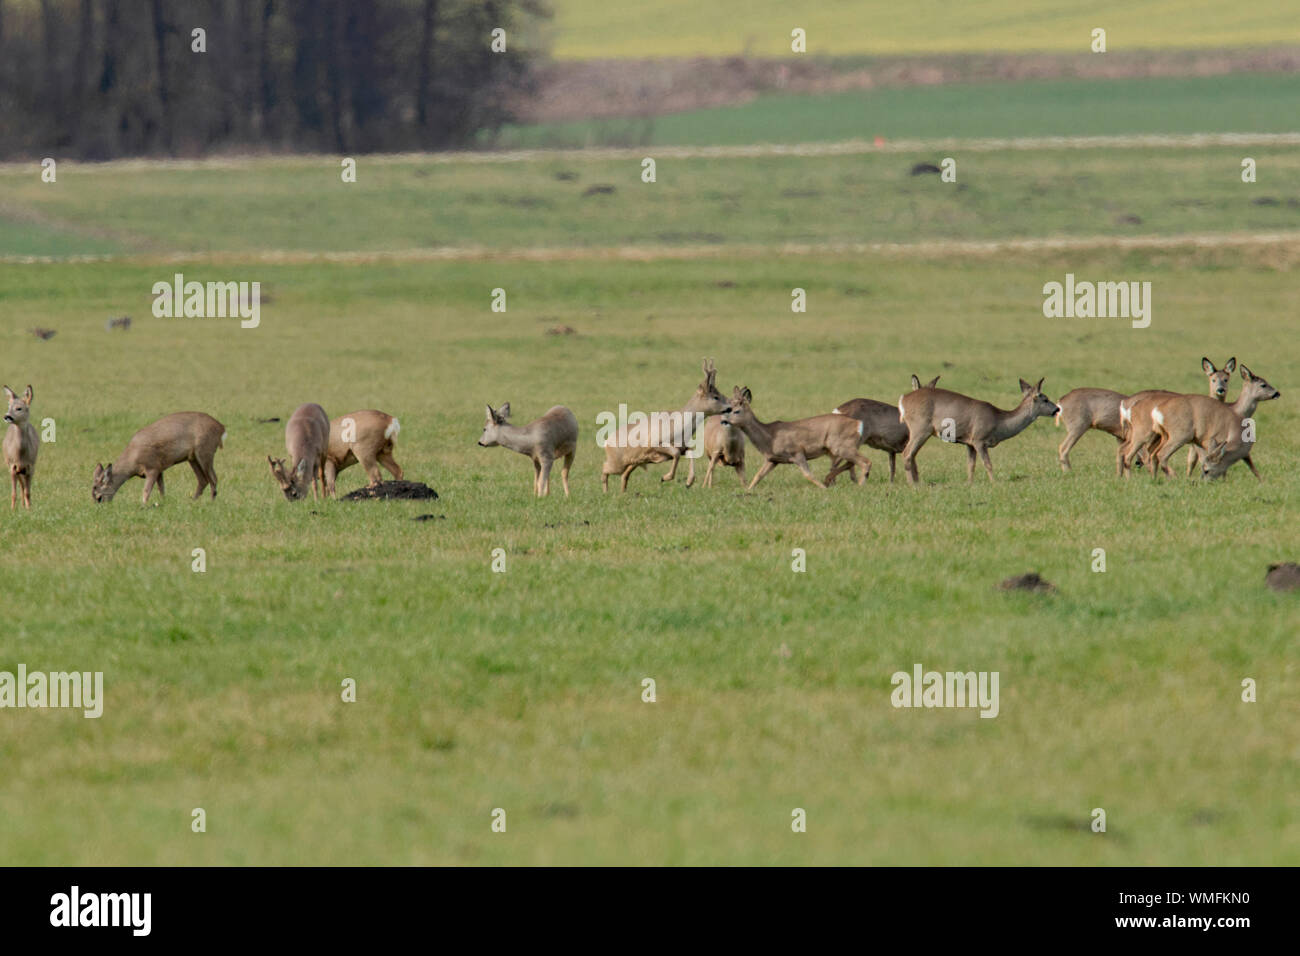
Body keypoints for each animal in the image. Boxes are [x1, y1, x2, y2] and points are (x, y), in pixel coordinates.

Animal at [93, 412, 226, 504]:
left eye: (99, 497)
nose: (100, 509)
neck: (133, 462)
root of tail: (221, 428)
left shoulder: (152, 467)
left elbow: (146, 490)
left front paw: (143, 505)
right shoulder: (159, 468)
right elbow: (161, 489)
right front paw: (162, 503)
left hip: (205, 450)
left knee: (213, 478)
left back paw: (211, 502)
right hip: (192, 458)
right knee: (203, 480)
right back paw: (193, 501)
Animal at [600, 359, 731, 492]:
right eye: (716, 397)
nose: (729, 408)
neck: (680, 425)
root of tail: (606, 442)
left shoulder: (683, 446)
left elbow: (690, 452)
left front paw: (689, 482)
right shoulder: (655, 443)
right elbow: (676, 454)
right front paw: (665, 477)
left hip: (633, 461)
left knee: (624, 475)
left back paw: (622, 492)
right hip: (617, 462)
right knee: (604, 468)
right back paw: (606, 492)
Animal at [720, 386, 871, 489]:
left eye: (736, 411)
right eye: (728, 408)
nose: (723, 421)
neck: (769, 437)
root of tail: (858, 424)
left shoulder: (796, 451)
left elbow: (808, 474)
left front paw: (823, 489)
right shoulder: (772, 459)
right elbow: (758, 476)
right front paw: (747, 490)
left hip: (841, 445)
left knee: (865, 462)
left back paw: (859, 486)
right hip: (845, 447)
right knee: (852, 463)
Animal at [899, 378, 1059, 485]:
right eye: (1045, 399)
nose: (1057, 409)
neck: (999, 421)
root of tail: (903, 400)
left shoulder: (969, 443)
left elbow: (971, 465)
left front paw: (969, 484)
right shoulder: (979, 439)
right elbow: (988, 463)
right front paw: (994, 483)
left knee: (911, 454)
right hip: (920, 428)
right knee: (907, 453)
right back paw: (912, 485)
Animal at [1145, 365, 1280, 480]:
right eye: (1263, 385)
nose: (1277, 393)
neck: (1239, 411)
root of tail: (1157, 410)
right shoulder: (1210, 439)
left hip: (1165, 435)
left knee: (1153, 455)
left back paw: (1155, 478)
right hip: (1180, 434)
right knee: (1162, 454)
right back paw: (1174, 477)